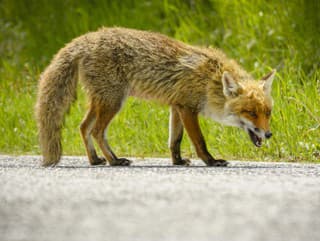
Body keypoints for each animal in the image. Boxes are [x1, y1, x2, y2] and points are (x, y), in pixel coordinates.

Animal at [34, 25, 276, 166]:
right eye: (250, 113)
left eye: (268, 113)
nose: (268, 134)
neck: (210, 81)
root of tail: (87, 38)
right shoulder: (188, 108)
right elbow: (199, 140)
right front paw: (211, 161)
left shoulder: (177, 107)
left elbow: (174, 140)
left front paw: (177, 162)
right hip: (113, 102)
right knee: (96, 131)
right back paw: (114, 161)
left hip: (101, 101)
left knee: (83, 127)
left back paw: (95, 160)